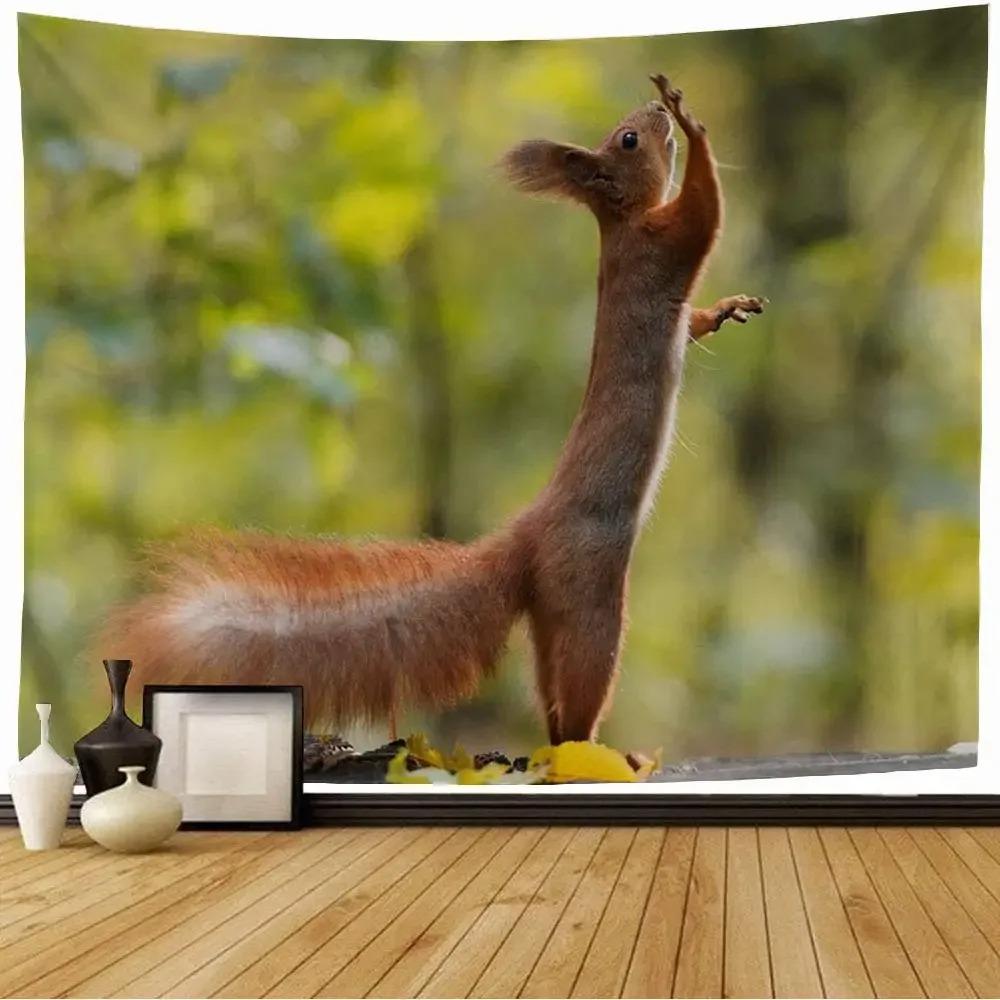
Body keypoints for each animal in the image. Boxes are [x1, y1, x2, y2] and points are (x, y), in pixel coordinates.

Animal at [102, 75, 765, 744]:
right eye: (629, 140)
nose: (656, 113)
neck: (622, 221)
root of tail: (525, 539)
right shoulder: (664, 242)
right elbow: (706, 210)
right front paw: (692, 123)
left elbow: (693, 312)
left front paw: (723, 309)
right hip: (589, 603)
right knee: (580, 692)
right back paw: (597, 751)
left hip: (552, 616)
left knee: (553, 699)